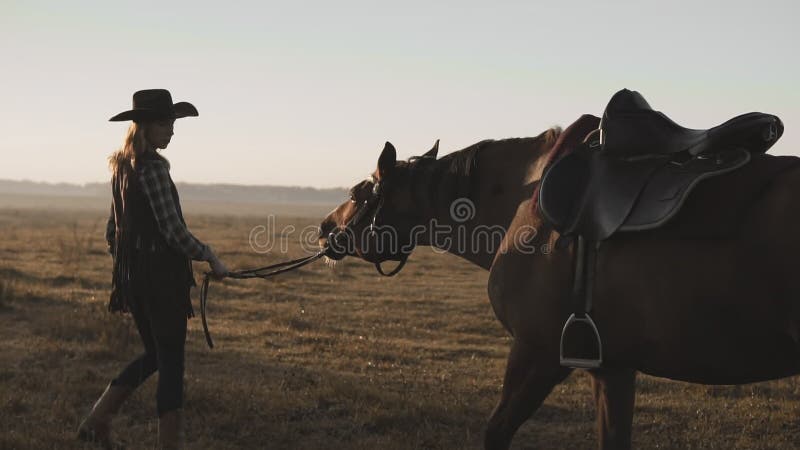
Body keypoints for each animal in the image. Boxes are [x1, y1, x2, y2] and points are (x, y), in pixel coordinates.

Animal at [316, 128, 800, 448]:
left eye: (359, 193)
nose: (323, 230)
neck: (526, 205)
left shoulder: (539, 352)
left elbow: (496, 431)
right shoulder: (613, 368)